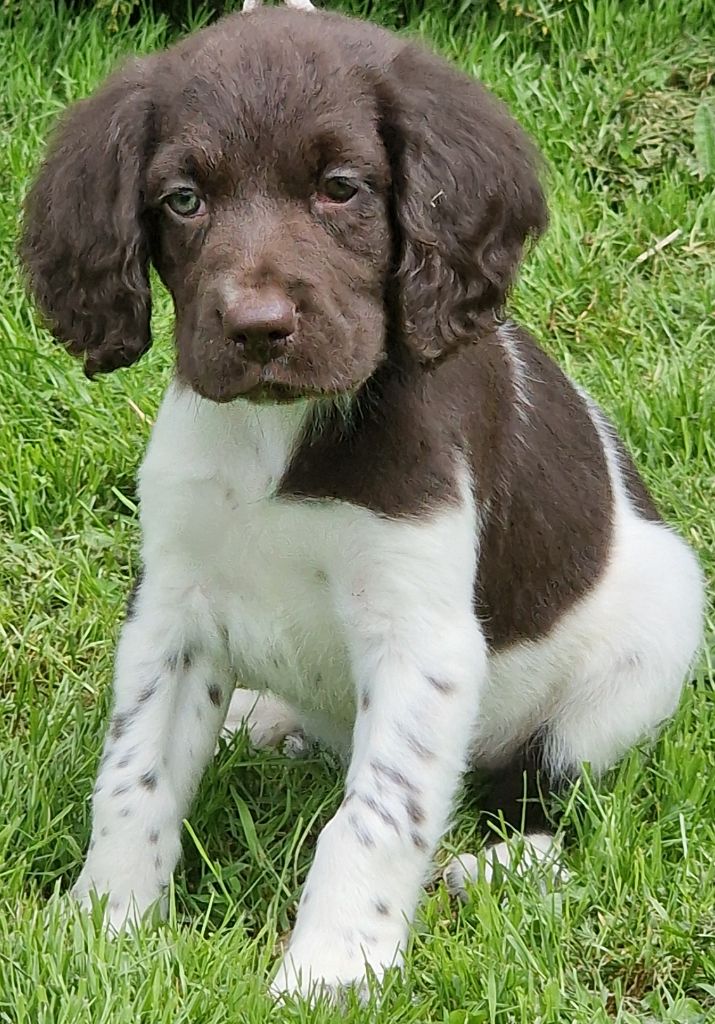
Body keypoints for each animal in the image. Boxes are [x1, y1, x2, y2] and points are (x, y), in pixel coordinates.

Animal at [20, 4, 704, 1000]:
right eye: (183, 199)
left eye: (341, 189)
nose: (257, 329)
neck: (279, 436)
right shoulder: (172, 608)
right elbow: (133, 775)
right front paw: (105, 925)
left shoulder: (419, 634)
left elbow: (376, 815)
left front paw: (331, 971)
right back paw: (264, 720)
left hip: (638, 660)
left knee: (556, 800)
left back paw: (492, 867)